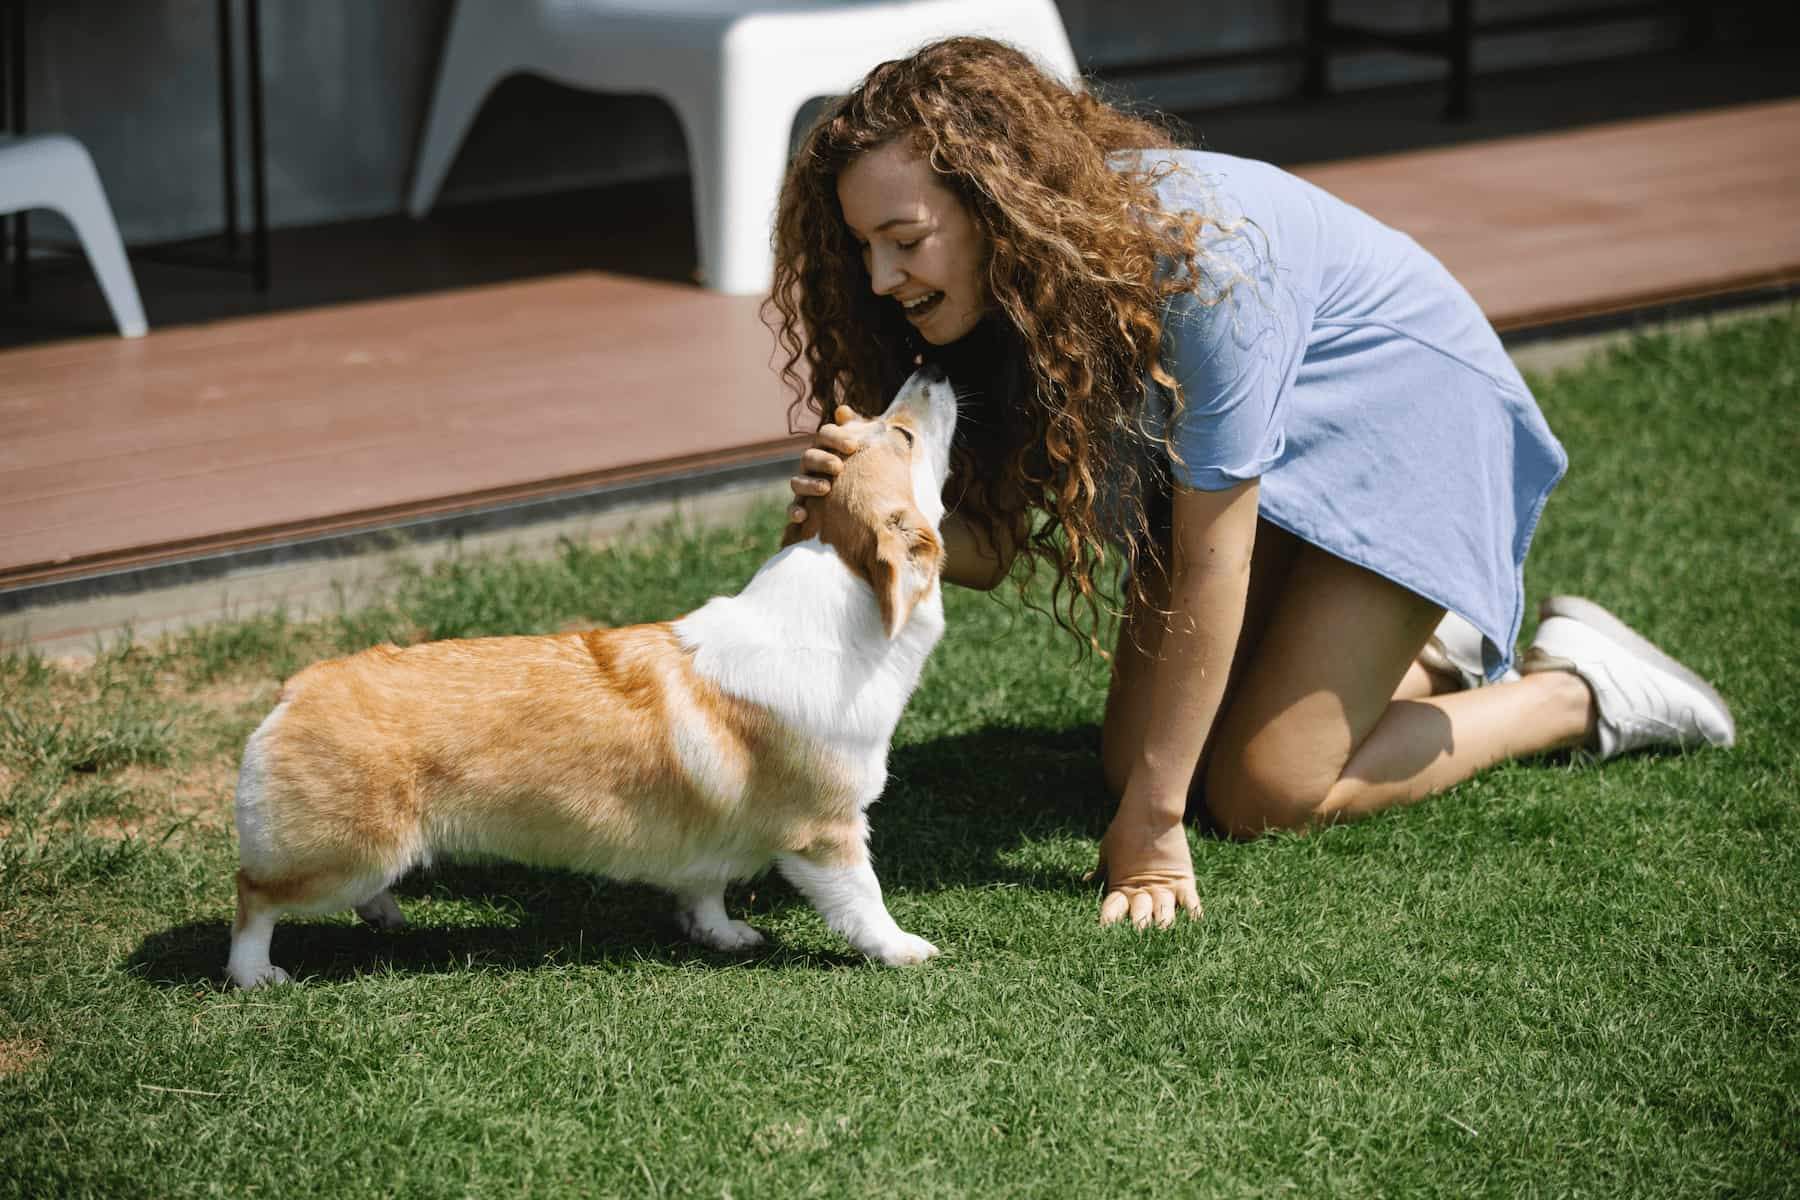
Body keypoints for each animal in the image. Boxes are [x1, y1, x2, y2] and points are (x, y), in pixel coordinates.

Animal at [232, 367, 964, 985]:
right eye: (902, 434)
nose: (930, 365)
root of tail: (299, 687)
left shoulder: (709, 836)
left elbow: (705, 889)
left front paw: (721, 935)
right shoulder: (827, 831)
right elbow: (864, 899)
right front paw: (903, 950)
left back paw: (384, 915)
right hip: (346, 853)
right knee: (254, 896)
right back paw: (255, 975)